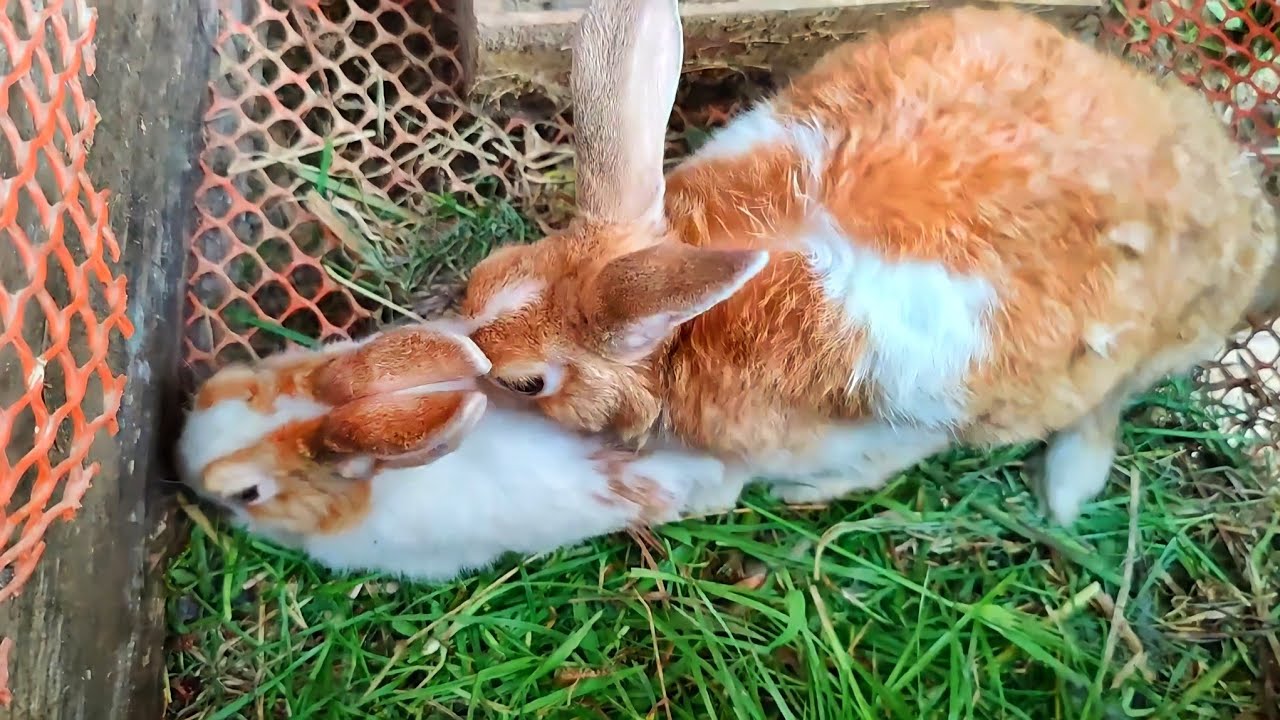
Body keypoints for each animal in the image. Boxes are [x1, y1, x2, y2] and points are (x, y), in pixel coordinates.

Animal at [456, 1, 1280, 526]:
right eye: (485, 275)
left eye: (527, 383)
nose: (462, 361)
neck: (686, 325)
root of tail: (1244, 222)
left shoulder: (883, 426)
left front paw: (733, 500)